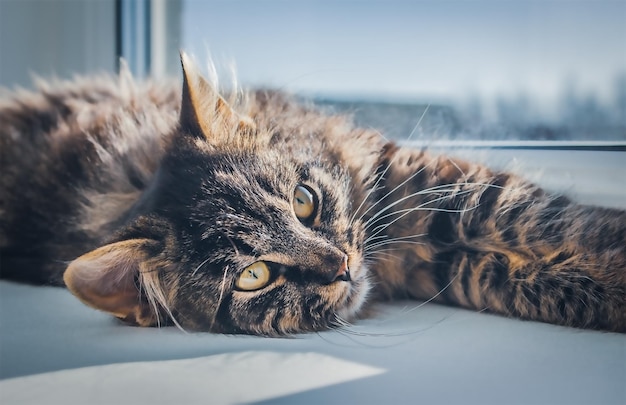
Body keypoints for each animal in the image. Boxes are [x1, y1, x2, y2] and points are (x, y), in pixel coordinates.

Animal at [0, 54, 620, 334]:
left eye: (304, 201)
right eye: (253, 276)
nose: (343, 264)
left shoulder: (425, 191)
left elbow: (552, 225)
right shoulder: (444, 259)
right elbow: (533, 279)